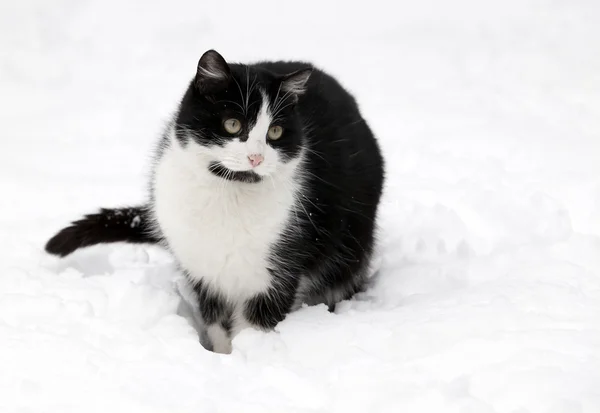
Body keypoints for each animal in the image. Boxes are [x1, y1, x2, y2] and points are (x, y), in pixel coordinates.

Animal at [45, 48, 384, 350]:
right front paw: (222, 357)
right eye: (233, 124)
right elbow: (216, 323)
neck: (228, 195)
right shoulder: (204, 269)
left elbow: (256, 326)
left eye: (274, 132)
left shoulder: (277, 269)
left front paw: (249, 357)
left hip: (351, 243)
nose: (256, 157)